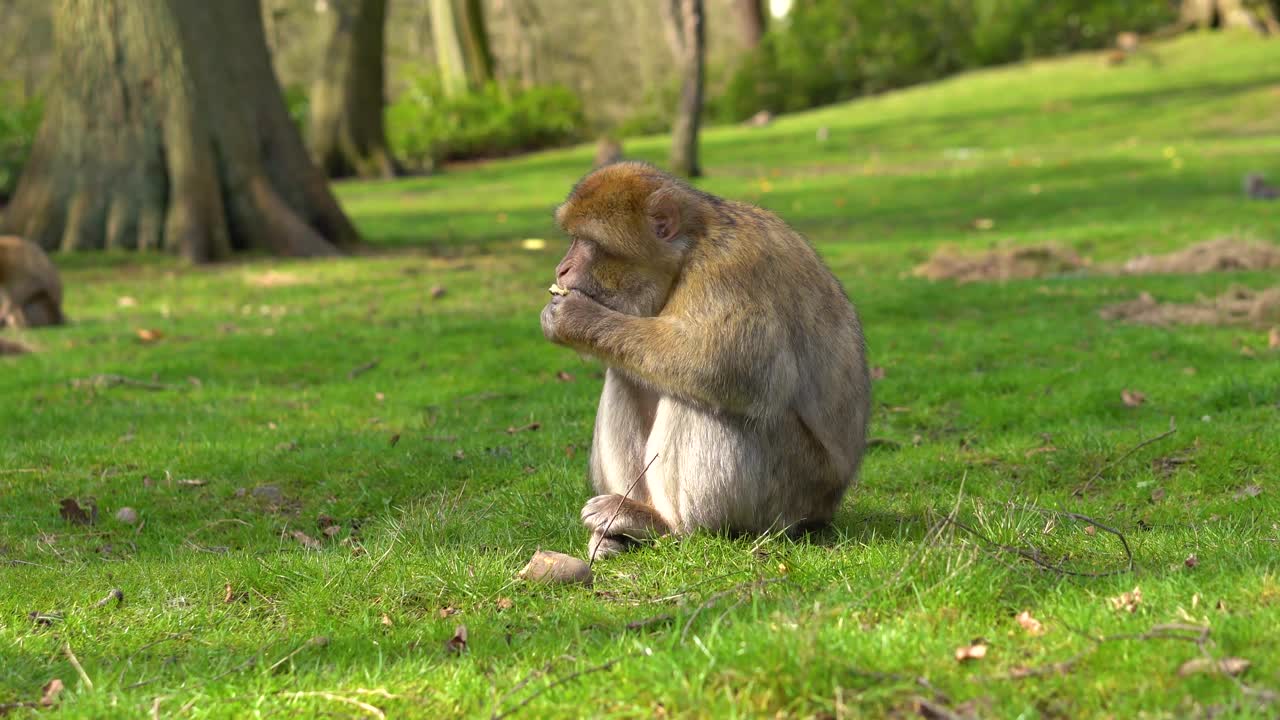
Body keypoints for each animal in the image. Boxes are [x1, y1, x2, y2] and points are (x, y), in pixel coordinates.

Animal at [540, 161, 871, 559]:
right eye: (573, 238)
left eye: (590, 244)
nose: (561, 268)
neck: (690, 250)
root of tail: (828, 506)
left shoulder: (729, 270)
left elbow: (730, 366)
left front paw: (576, 318)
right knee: (629, 376)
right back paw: (626, 525)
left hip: (788, 495)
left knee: (700, 398)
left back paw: (665, 524)